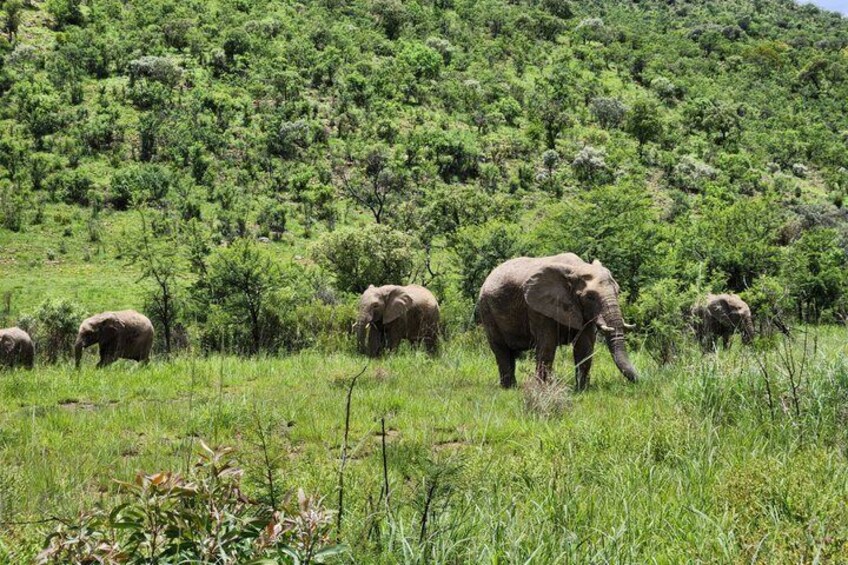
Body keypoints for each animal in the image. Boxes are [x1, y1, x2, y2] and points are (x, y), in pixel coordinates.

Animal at [478, 253, 639, 390]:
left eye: (617, 291)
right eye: (590, 297)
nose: (640, 381)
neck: (576, 268)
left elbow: (584, 346)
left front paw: (582, 390)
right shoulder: (537, 308)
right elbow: (547, 346)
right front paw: (543, 390)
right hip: (486, 309)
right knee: (501, 349)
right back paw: (509, 388)